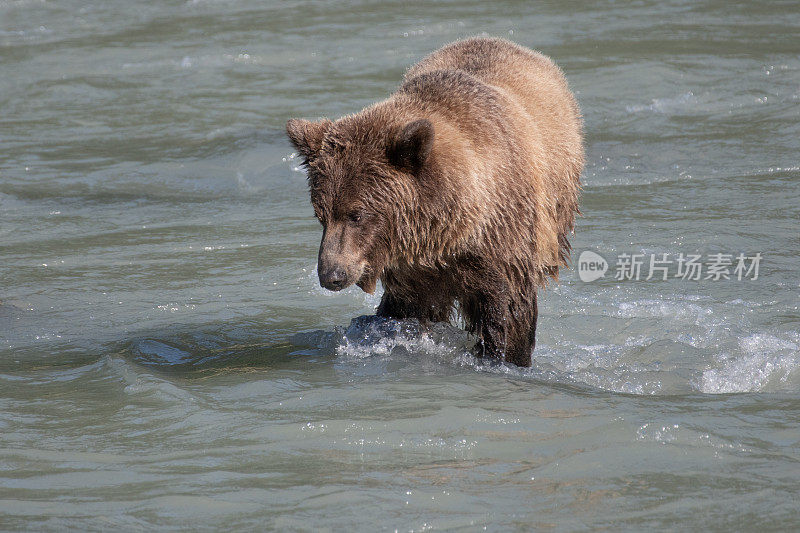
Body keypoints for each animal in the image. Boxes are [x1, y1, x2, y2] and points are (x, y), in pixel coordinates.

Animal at [288, 36, 580, 366]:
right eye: (321, 214)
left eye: (357, 214)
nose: (331, 275)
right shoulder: (412, 267)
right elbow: (404, 311)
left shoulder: (500, 240)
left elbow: (508, 311)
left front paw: (504, 355)